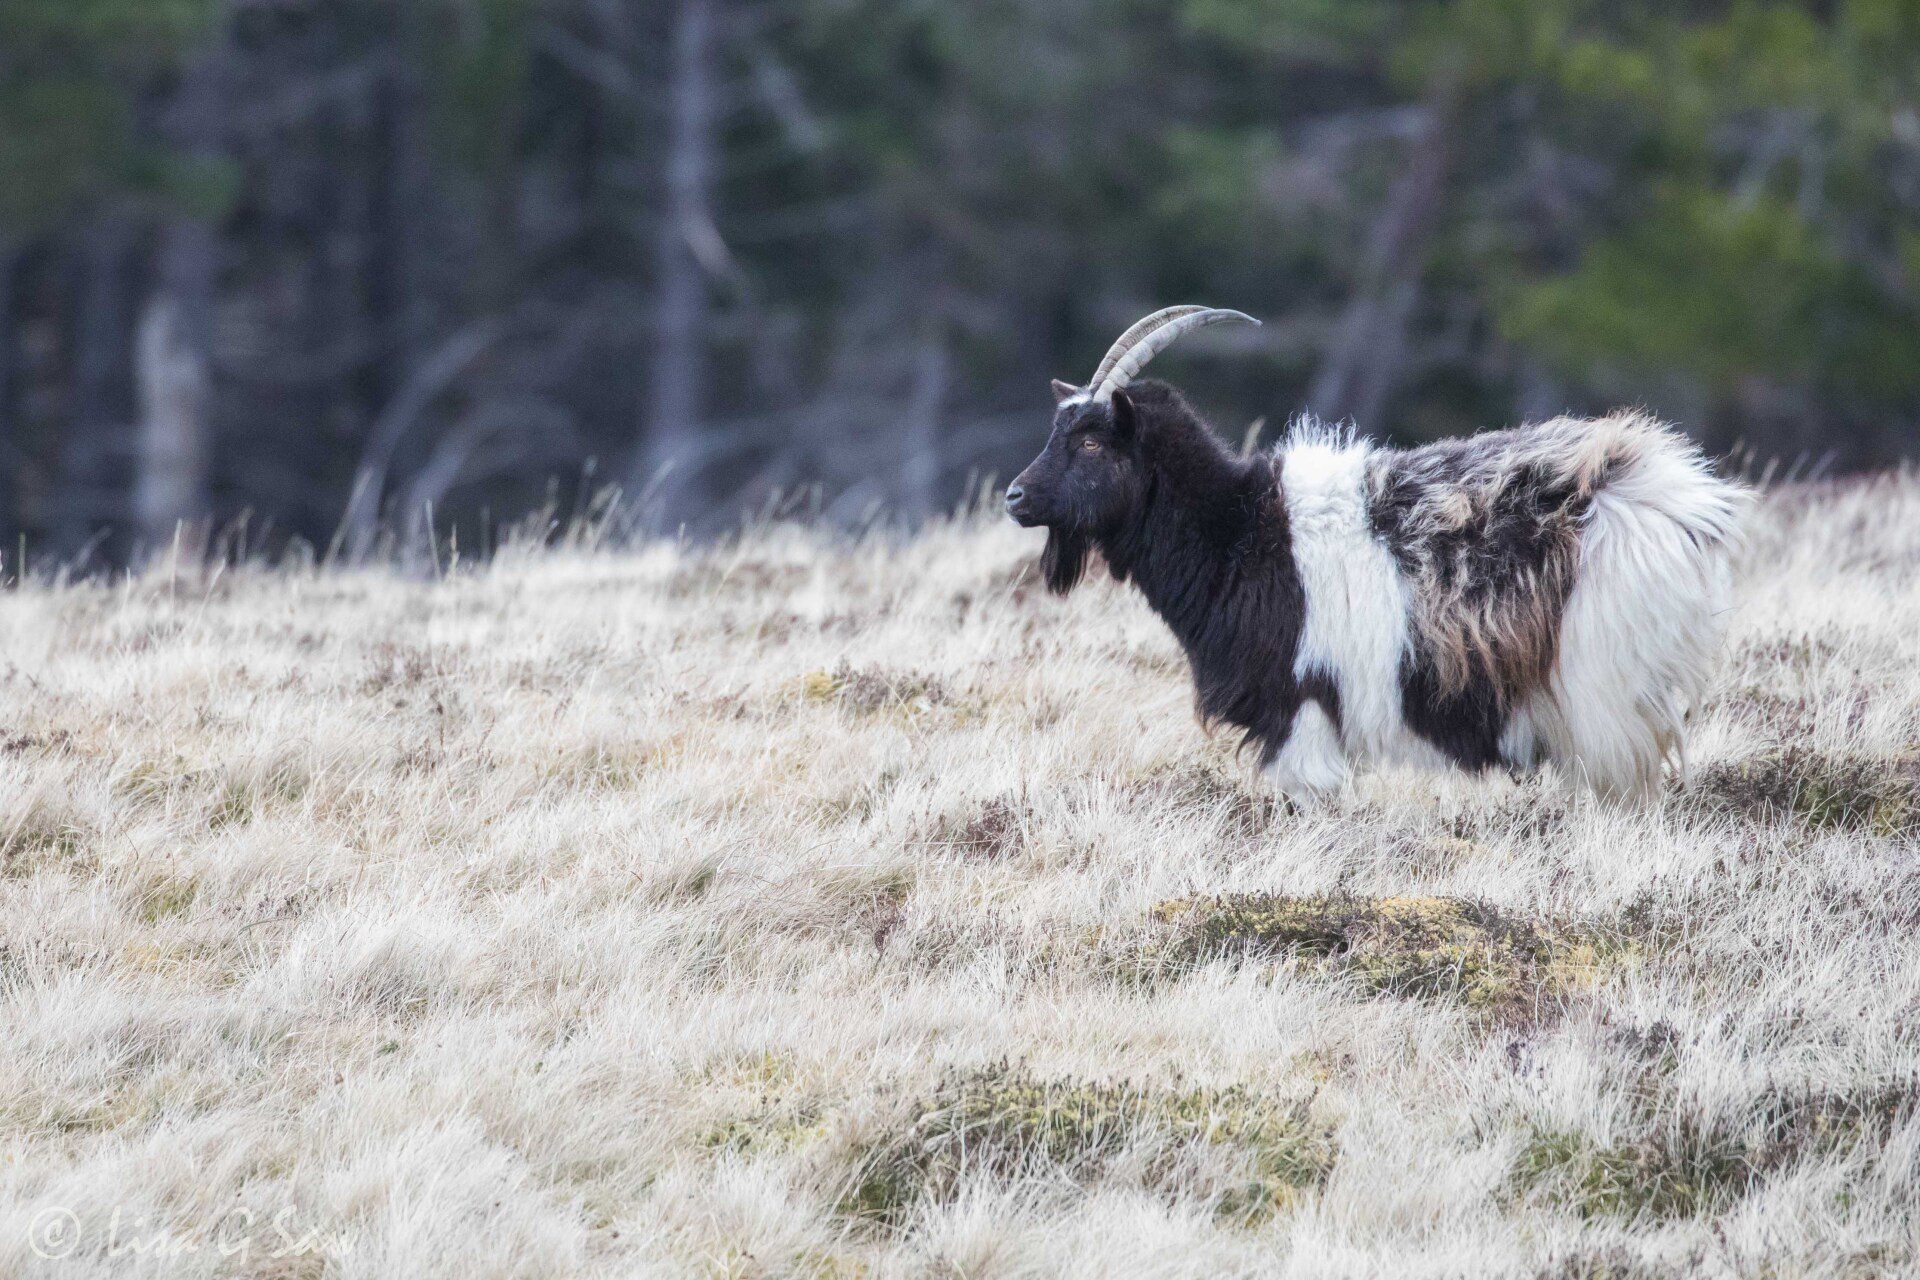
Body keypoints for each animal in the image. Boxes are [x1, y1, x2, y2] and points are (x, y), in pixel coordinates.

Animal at [1006, 306, 1751, 799]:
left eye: (1092, 442)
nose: (1015, 497)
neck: (1242, 531)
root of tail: (1664, 496)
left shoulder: (1302, 709)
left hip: (1604, 690)